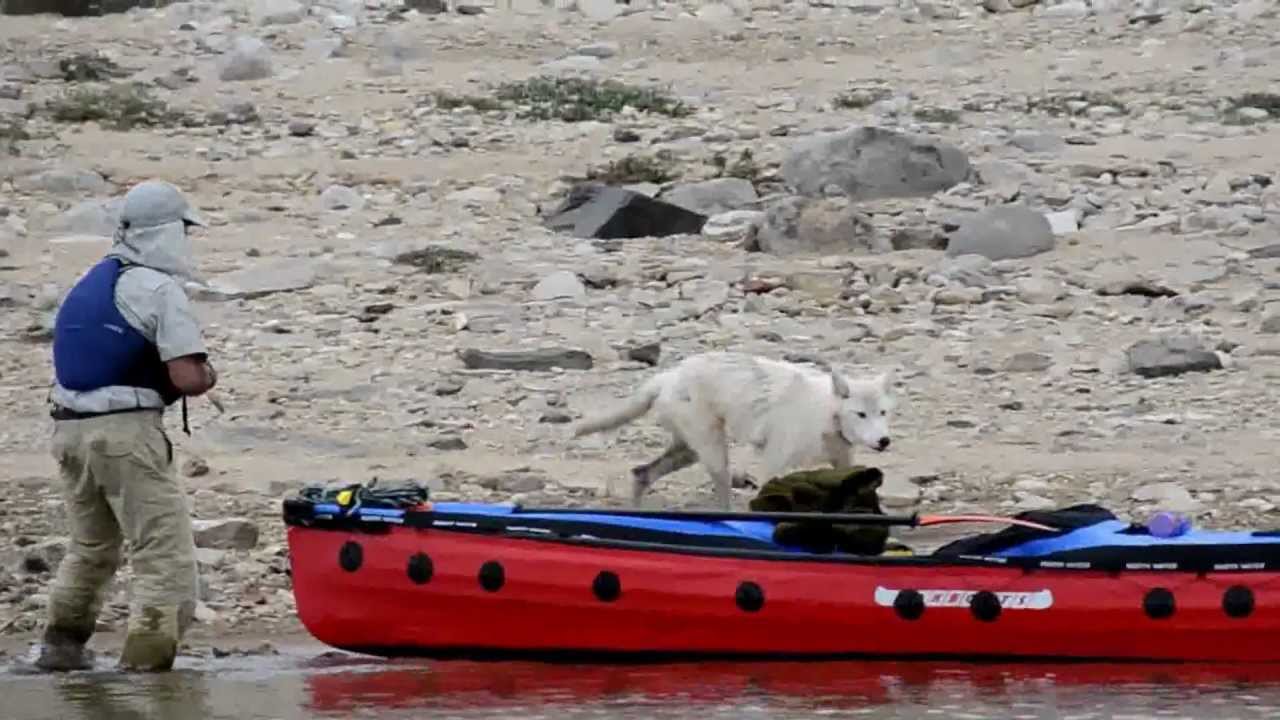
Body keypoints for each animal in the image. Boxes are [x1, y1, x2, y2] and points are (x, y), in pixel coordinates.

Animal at [571, 352, 896, 509]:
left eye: (882, 413)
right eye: (861, 414)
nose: (884, 441)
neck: (826, 415)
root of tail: (668, 375)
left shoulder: (842, 460)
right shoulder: (774, 463)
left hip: (687, 452)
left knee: (641, 473)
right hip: (713, 451)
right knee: (722, 494)